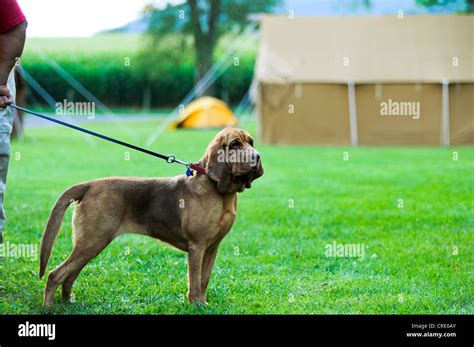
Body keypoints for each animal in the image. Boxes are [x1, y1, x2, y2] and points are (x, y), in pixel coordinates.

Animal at [39, 128, 262, 308]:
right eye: (234, 144)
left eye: (251, 142)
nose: (257, 157)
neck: (220, 192)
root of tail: (88, 185)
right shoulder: (197, 247)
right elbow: (195, 283)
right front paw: (196, 306)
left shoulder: (212, 248)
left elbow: (204, 280)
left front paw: (203, 304)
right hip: (92, 242)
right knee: (55, 274)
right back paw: (48, 307)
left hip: (90, 245)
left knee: (68, 277)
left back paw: (68, 302)